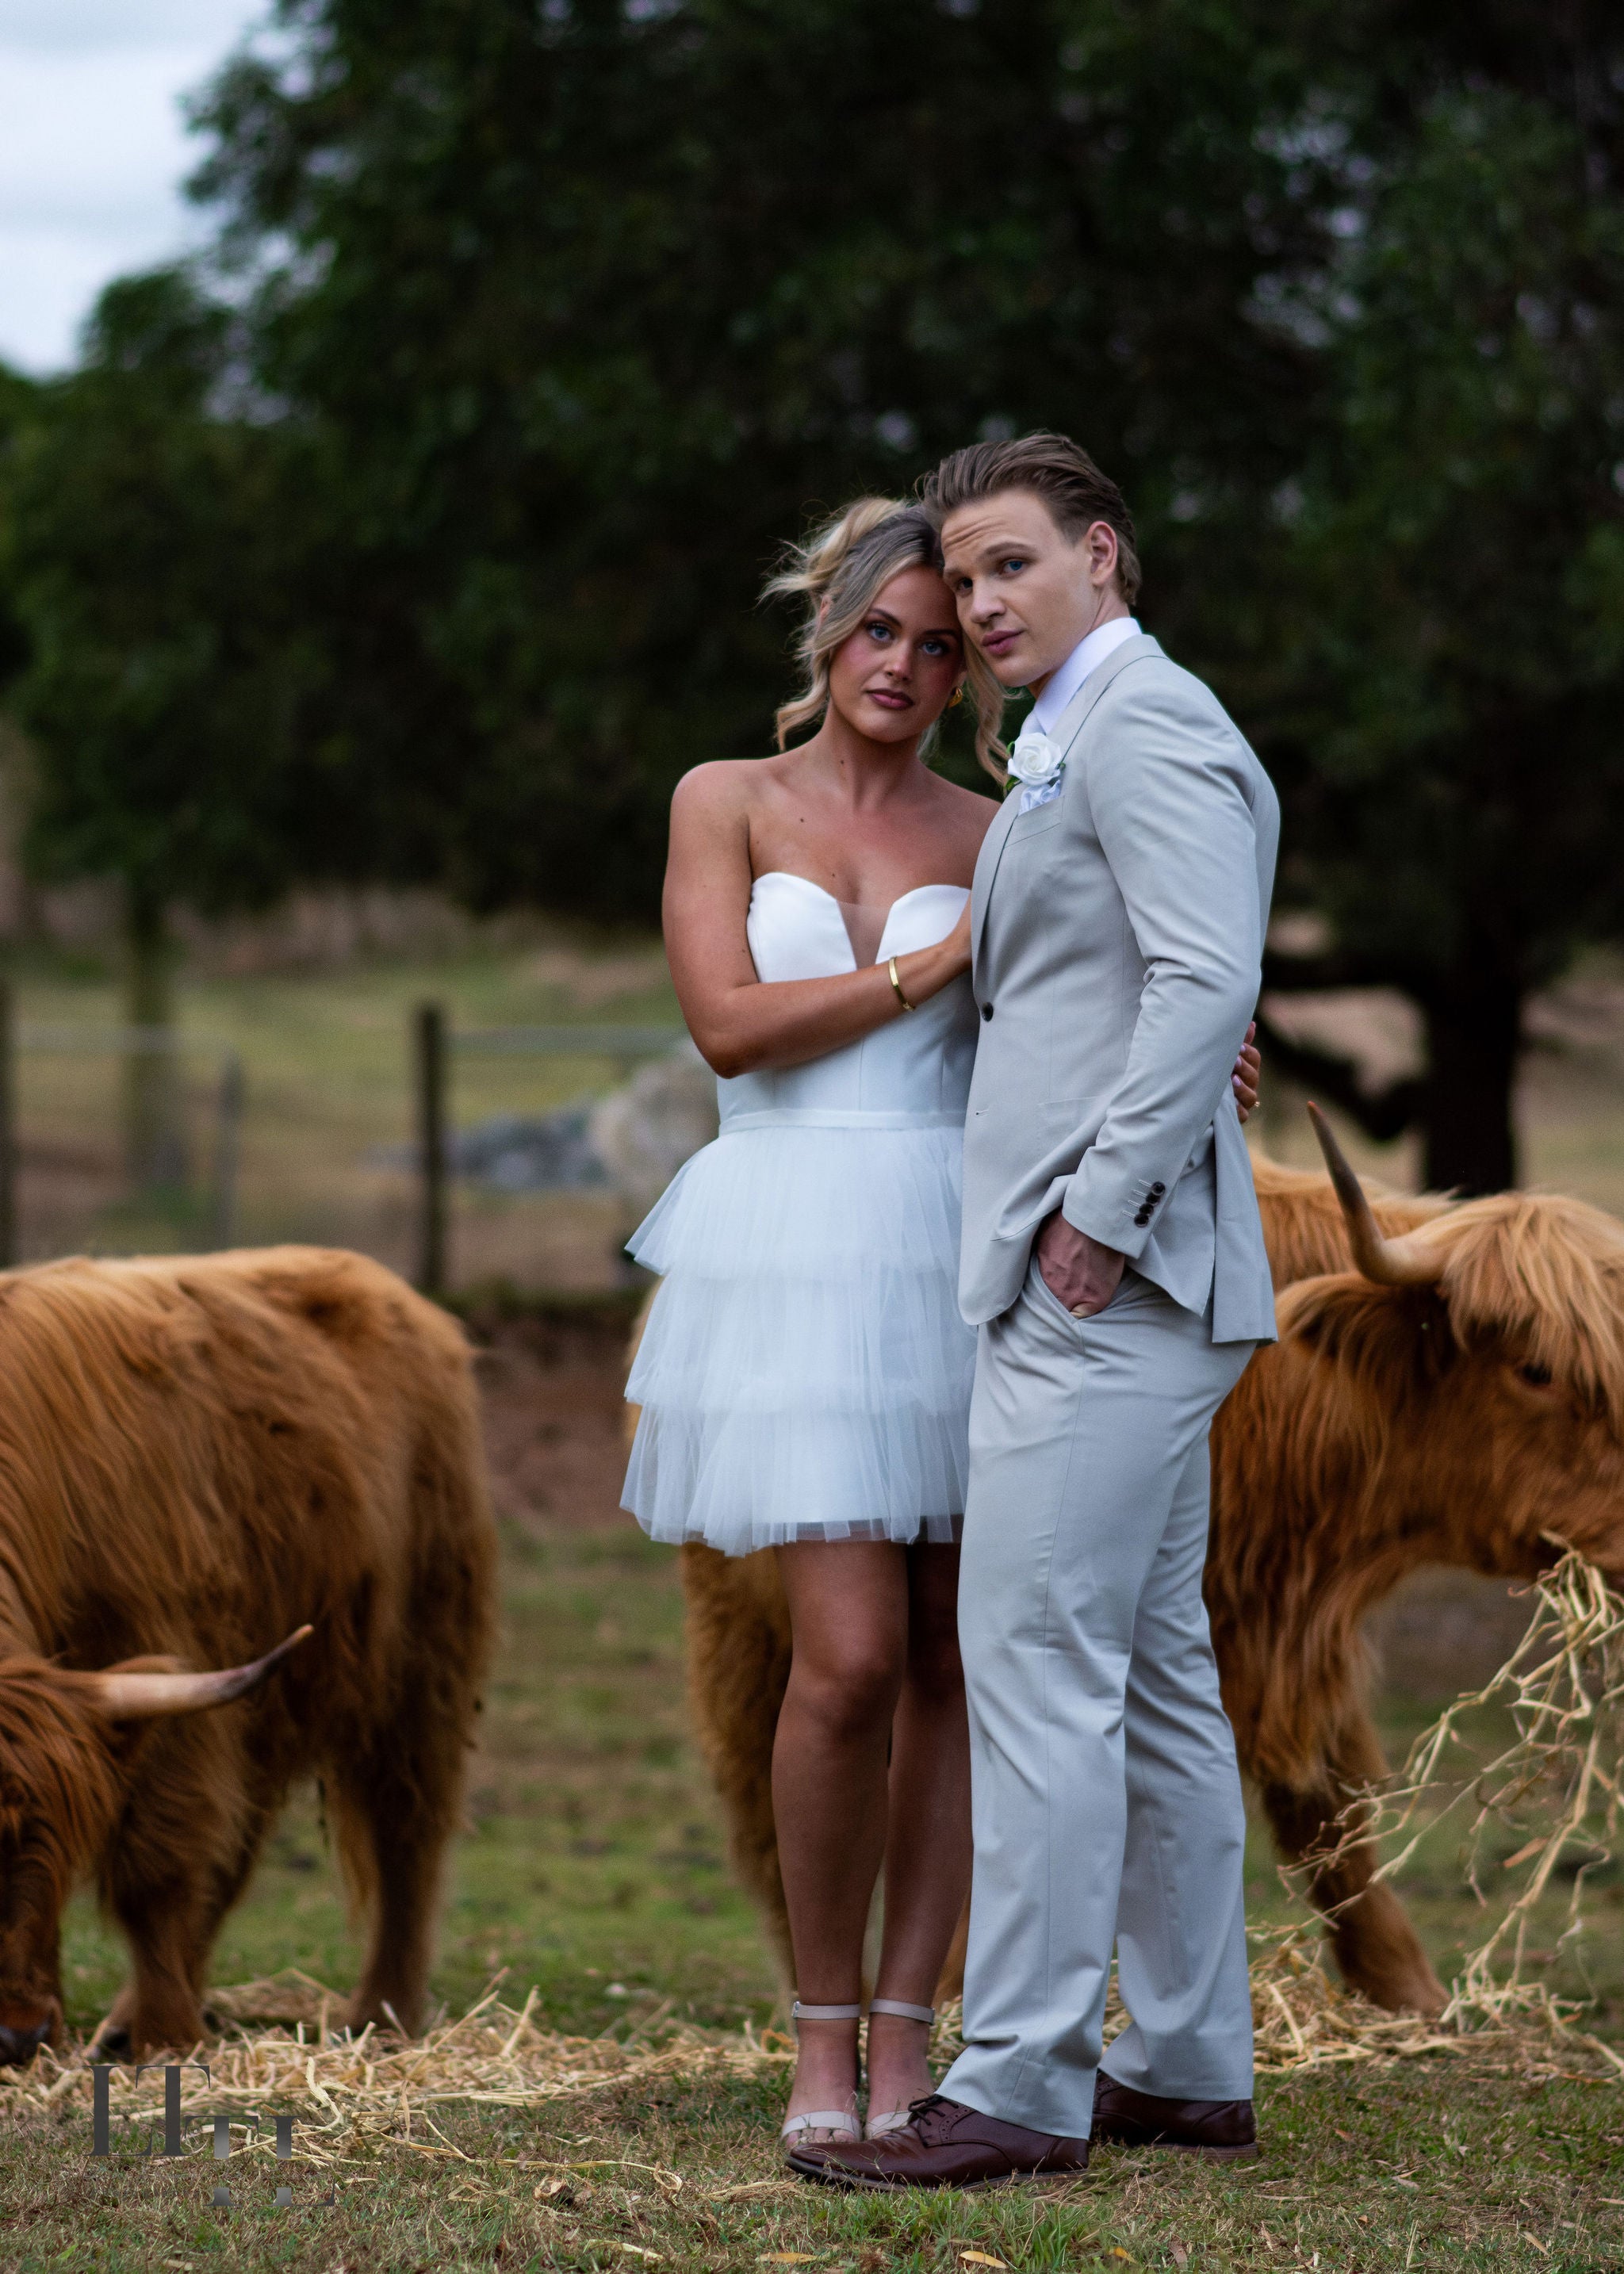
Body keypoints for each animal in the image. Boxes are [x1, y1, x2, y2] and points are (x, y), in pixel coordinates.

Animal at [0, 1246, 496, 2066]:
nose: (17, 2034)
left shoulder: (166, 1664)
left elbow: (157, 1865)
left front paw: (166, 2036)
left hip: (422, 1659)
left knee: (407, 1832)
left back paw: (381, 2013)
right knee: (239, 1845)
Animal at [663, 1114, 1624, 2017]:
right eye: (1536, 1371)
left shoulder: (1286, 1646)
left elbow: (1327, 1820)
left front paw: (1407, 1996)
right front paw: (960, 1996)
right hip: (747, 1639)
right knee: (776, 1824)